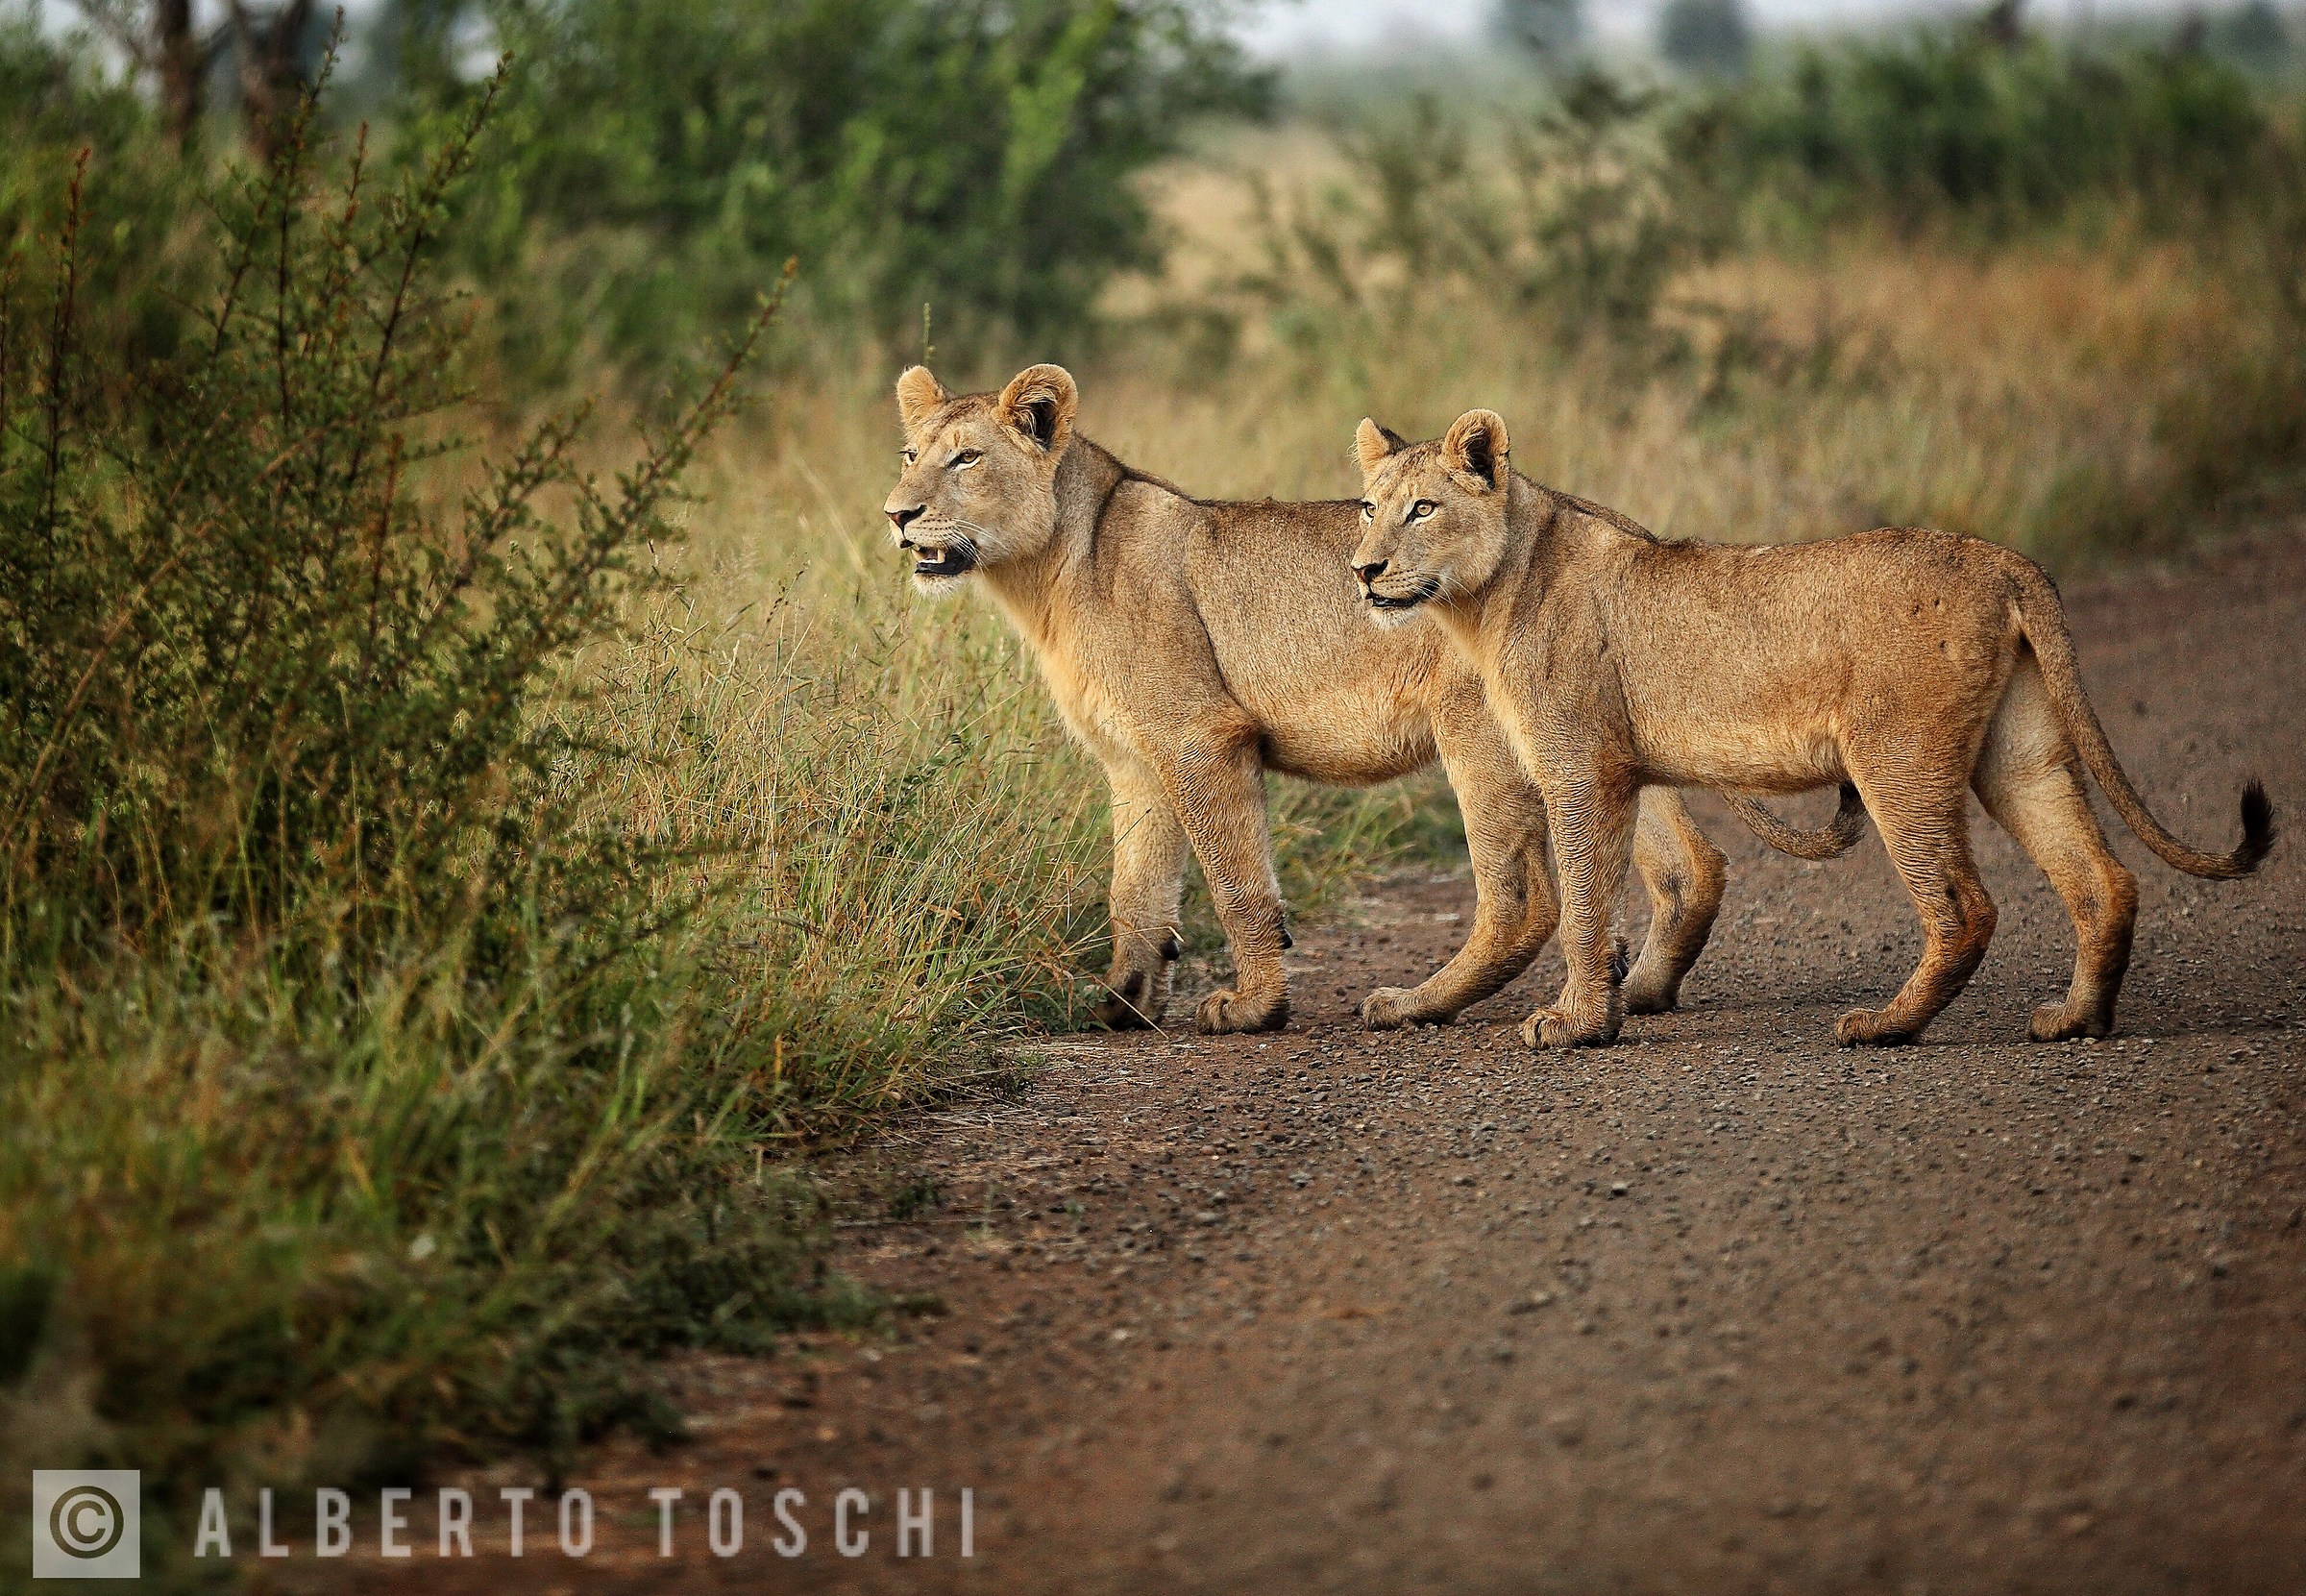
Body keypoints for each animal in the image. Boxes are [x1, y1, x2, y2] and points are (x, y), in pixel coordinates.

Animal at [879, 363, 1860, 1034]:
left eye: (965, 458)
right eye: (910, 455)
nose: (896, 513)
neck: (1046, 572)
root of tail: (1610, 525)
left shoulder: (1202, 736)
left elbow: (1237, 882)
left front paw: (1253, 1008)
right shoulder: (1136, 759)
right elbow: (1137, 891)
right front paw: (1124, 1003)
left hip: (1483, 736)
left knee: (1525, 898)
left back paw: (1422, 1004)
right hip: (1592, 735)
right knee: (1691, 864)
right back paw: (1638, 990)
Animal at [1349, 407, 2274, 1049]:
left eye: (1423, 509)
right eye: (1367, 508)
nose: (1361, 570)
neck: (1487, 595)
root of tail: (2002, 558)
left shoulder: (1580, 764)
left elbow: (1581, 899)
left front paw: (1574, 1025)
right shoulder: (1611, 766)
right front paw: (1598, 1013)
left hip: (1898, 757)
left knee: (1966, 906)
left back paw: (1887, 1026)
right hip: (2017, 756)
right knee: (2102, 880)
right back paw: (2076, 1018)